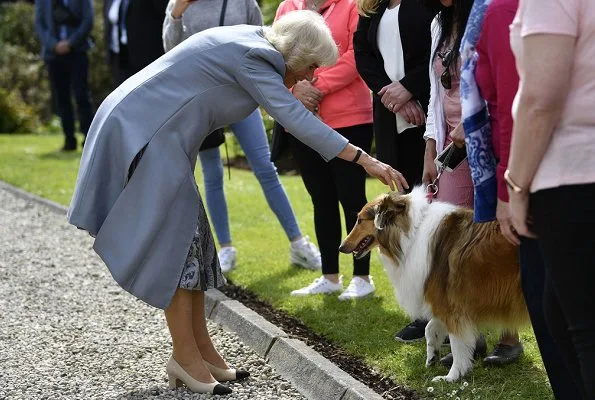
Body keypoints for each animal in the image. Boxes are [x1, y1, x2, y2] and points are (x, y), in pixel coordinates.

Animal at [338, 187, 528, 382]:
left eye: (360, 220)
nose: (341, 247)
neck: (412, 233)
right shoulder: (442, 298)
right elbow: (430, 328)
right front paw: (432, 357)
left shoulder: (453, 307)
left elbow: (458, 345)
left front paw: (452, 377)